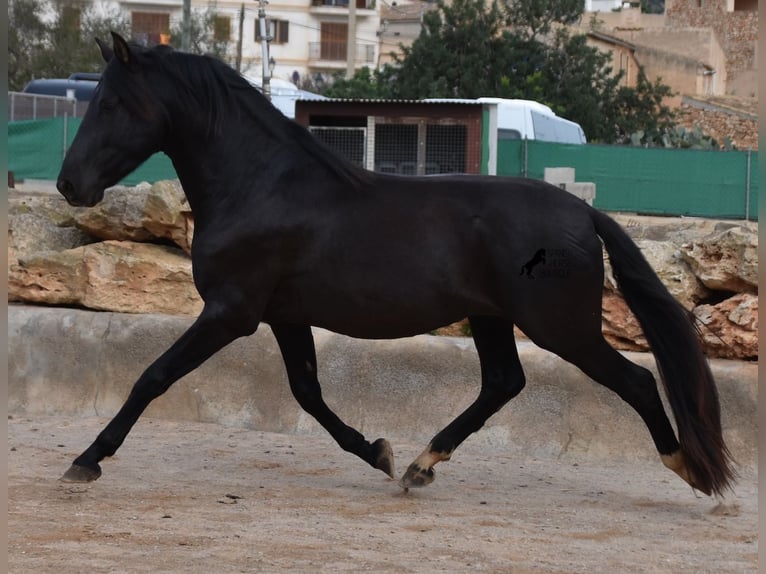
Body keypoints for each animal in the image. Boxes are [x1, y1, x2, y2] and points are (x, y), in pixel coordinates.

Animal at [57, 32, 736, 500]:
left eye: (113, 102)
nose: (68, 185)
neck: (262, 186)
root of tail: (583, 212)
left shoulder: (231, 312)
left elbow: (153, 377)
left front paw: (86, 461)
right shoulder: (283, 316)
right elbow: (308, 394)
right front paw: (378, 452)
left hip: (560, 327)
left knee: (636, 382)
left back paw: (691, 472)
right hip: (491, 318)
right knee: (503, 383)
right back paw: (418, 465)